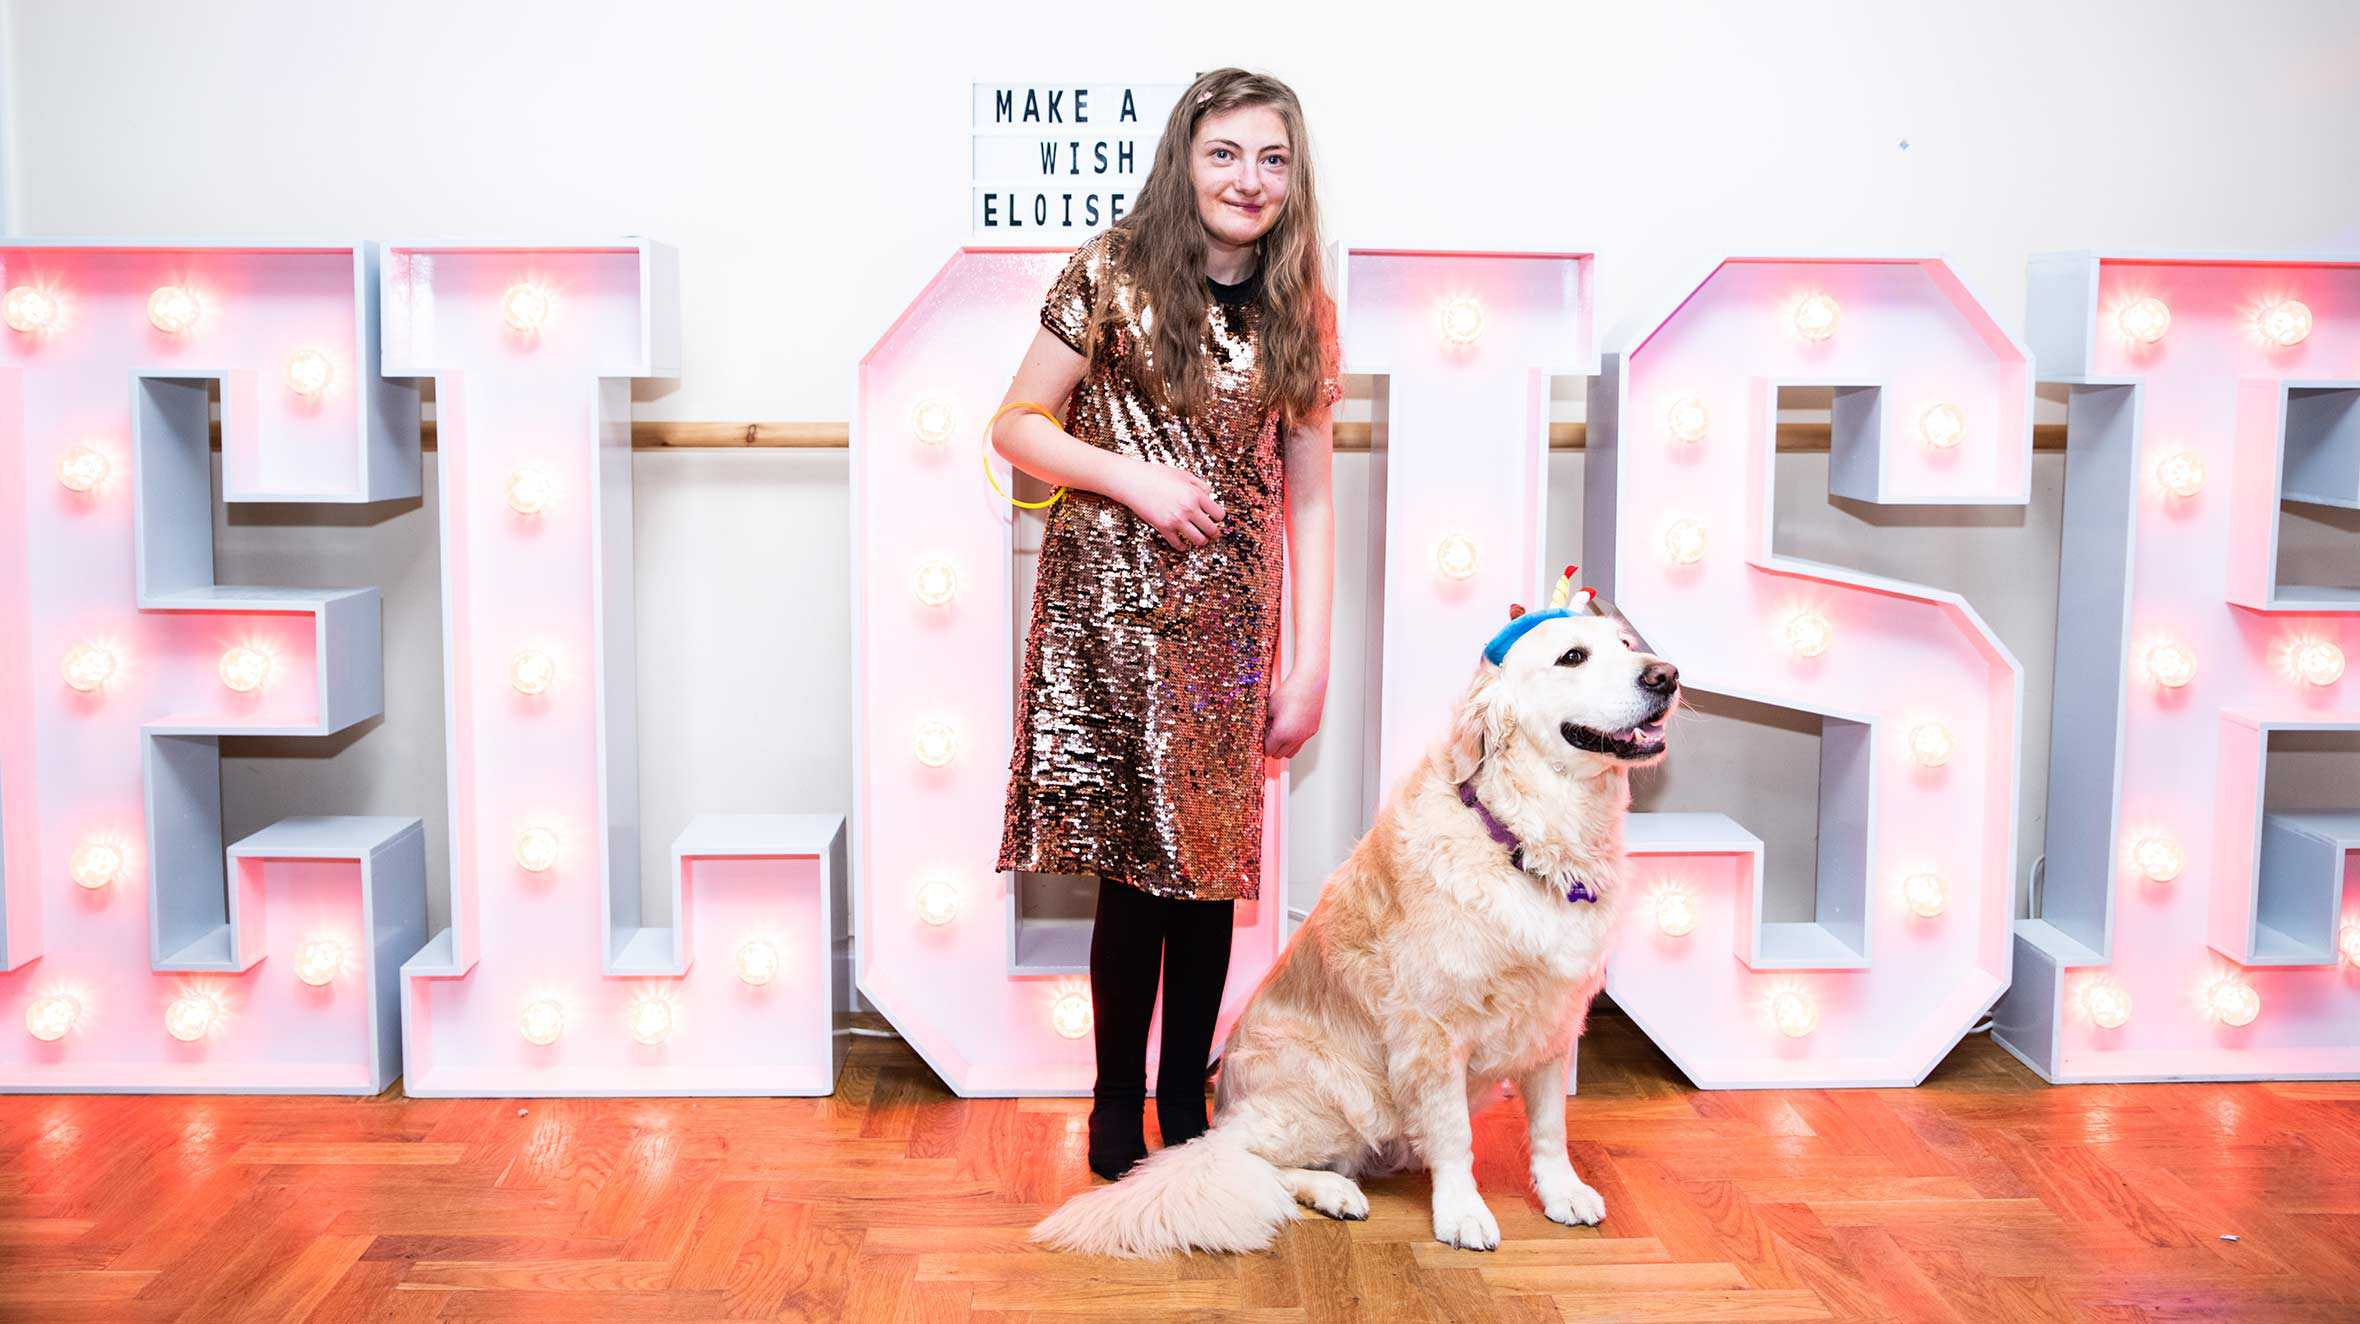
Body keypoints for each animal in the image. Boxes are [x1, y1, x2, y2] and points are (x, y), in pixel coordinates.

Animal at [1033, 604, 1680, 1255]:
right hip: (1343, 1093)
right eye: (1573, 657)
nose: (1667, 676)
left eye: (1628, 645)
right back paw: (1332, 1189)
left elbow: (1550, 1127)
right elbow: (1454, 1135)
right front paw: (1462, 1210)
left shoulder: (1553, 1018)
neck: (1526, 837)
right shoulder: (1431, 1031)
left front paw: (1561, 1191)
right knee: (1239, 1157)